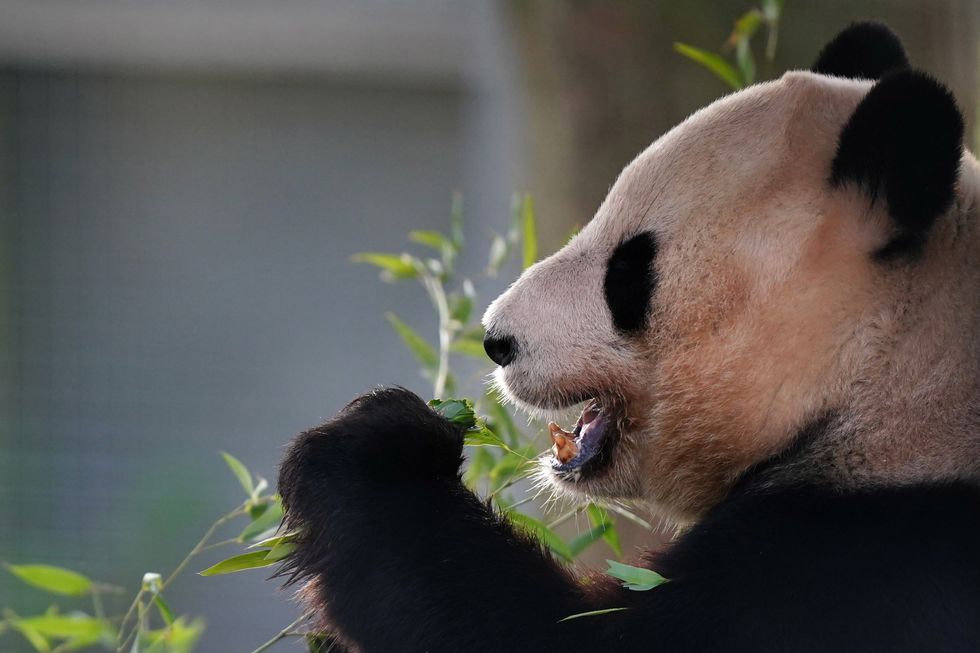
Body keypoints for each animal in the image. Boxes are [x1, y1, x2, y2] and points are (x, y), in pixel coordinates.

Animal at [276, 22, 980, 648]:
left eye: (628, 272)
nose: (496, 340)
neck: (891, 378)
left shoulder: (860, 565)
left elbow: (549, 631)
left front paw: (377, 445)